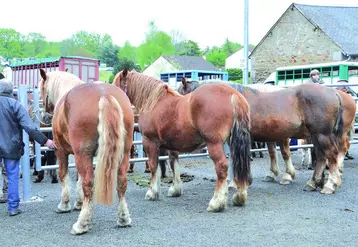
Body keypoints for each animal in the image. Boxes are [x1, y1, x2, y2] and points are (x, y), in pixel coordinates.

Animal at [39, 68, 134, 234]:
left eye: (42, 89)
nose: (44, 117)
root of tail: (104, 94)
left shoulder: (62, 151)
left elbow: (64, 175)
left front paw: (65, 205)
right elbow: (78, 179)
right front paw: (79, 203)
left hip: (81, 154)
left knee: (89, 182)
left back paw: (82, 224)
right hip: (124, 153)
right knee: (121, 181)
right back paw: (123, 218)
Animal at [114, 68, 252, 211]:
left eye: (116, 85)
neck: (153, 102)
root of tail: (233, 94)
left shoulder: (150, 141)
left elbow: (153, 166)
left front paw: (152, 192)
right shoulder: (172, 145)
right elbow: (173, 164)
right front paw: (175, 189)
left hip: (214, 143)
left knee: (222, 167)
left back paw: (216, 203)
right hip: (232, 142)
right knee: (240, 163)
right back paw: (239, 197)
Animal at [179, 78, 356, 194]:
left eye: (183, 97)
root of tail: (333, 92)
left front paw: (239, 183)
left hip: (322, 135)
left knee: (332, 155)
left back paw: (330, 185)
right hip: (316, 136)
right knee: (321, 156)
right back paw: (313, 183)